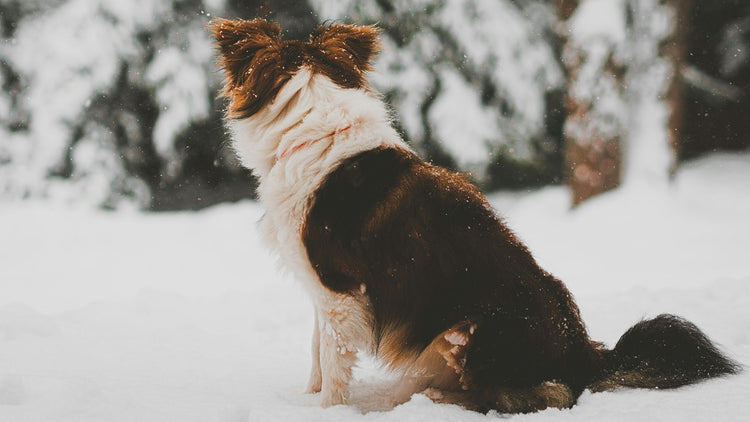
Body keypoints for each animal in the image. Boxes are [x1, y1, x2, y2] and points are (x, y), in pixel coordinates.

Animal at [210, 19, 740, 412]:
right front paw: (303, 399)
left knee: (541, 395)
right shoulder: (325, 294)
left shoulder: (339, 290)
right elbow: (316, 355)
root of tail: (583, 355)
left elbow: (332, 365)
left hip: (473, 332)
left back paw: (438, 400)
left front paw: (326, 410)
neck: (314, 127)